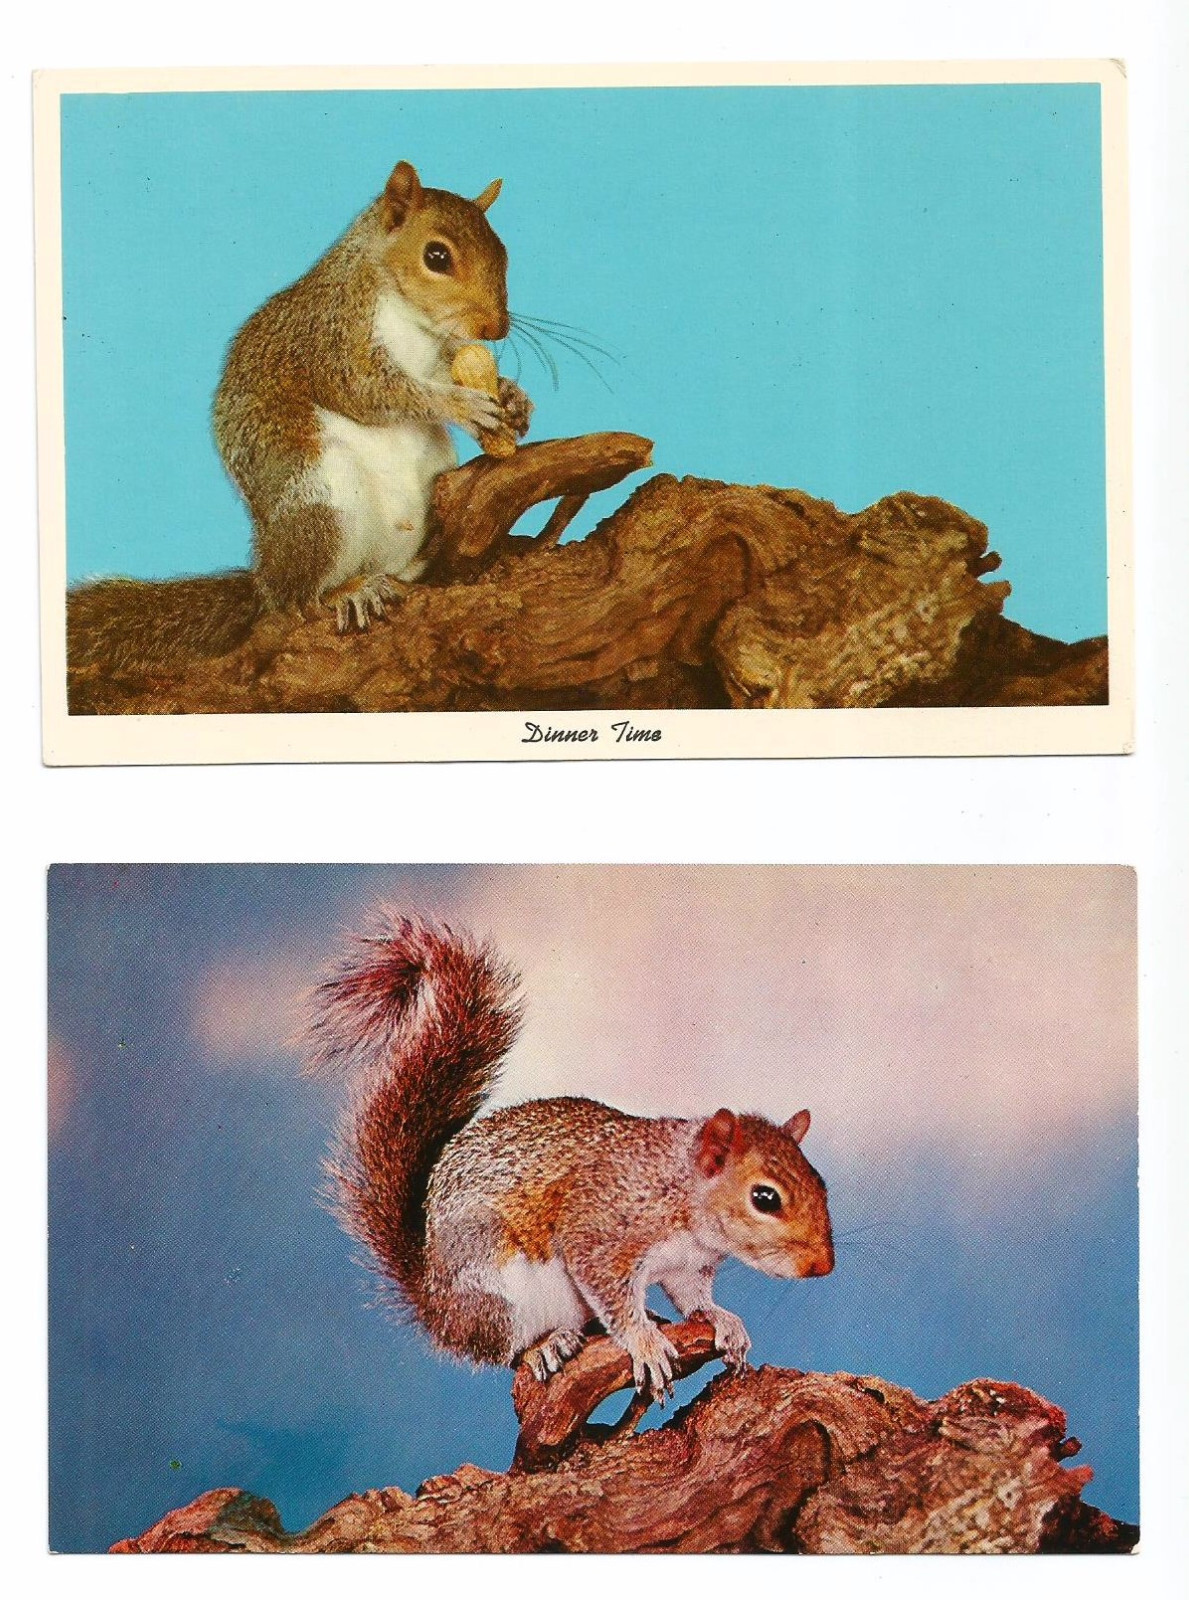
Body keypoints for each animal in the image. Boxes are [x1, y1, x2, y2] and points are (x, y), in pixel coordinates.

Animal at [67, 160, 532, 671]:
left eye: (504, 251)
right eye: (437, 256)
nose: (496, 328)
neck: (409, 316)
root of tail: (263, 581)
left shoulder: (438, 354)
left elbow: (447, 369)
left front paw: (513, 398)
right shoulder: (332, 338)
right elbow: (370, 391)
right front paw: (462, 404)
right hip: (320, 505)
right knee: (298, 600)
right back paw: (345, 593)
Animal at [302, 914, 834, 1398]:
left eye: (821, 1182)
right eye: (765, 1198)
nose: (823, 1267)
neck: (679, 1192)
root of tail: (433, 1301)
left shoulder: (686, 1266)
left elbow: (692, 1298)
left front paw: (722, 1320)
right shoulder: (601, 1229)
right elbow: (609, 1291)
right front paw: (644, 1342)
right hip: (491, 1278)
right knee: (505, 1348)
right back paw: (543, 1345)